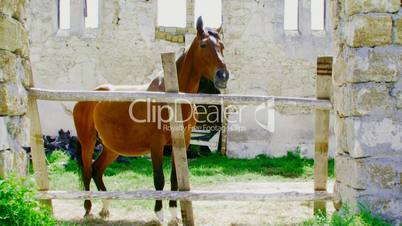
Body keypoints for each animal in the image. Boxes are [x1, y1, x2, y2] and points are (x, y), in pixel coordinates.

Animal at [73, 17, 229, 222]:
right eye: (203, 45)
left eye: (222, 46)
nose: (223, 76)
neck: (172, 98)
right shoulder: (157, 144)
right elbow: (159, 179)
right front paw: (159, 214)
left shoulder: (182, 142)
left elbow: (174, 180)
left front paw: (174, 215)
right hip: (88, 142)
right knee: (87, 171)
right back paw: (88, 208)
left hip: (111, 147)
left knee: (97, 170)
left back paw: (105, 208)